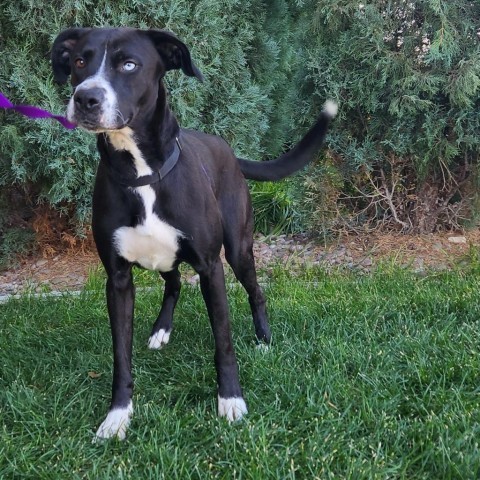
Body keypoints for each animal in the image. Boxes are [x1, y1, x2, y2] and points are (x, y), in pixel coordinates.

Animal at [50, 25, 338, 438]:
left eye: (129, 64)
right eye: (78, 61)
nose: (85, 97)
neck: (142, 174)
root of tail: (229, 150)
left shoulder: (210, 267)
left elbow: (224, 342)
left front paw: (231, 399)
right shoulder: (117, 279)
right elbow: (121, 354)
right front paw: (118, 414)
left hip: (239, 249)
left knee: (255, 291)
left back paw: (264, 340)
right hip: (164, 257)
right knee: (172, 284)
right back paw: (161, 330)